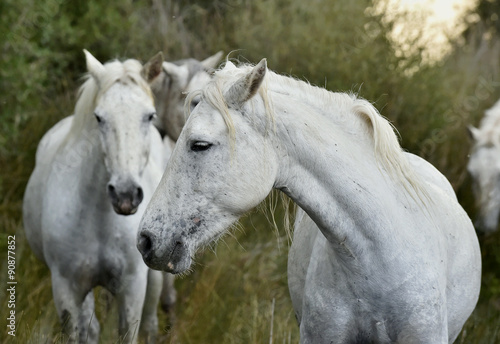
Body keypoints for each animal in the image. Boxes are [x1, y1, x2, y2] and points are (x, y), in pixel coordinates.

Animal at [23, 49, 165, 342]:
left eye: (150, 116)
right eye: (99, 118)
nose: (125, 194)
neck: (100, 217)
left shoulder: (132, 287)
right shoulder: (66, 288)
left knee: (151, 321)